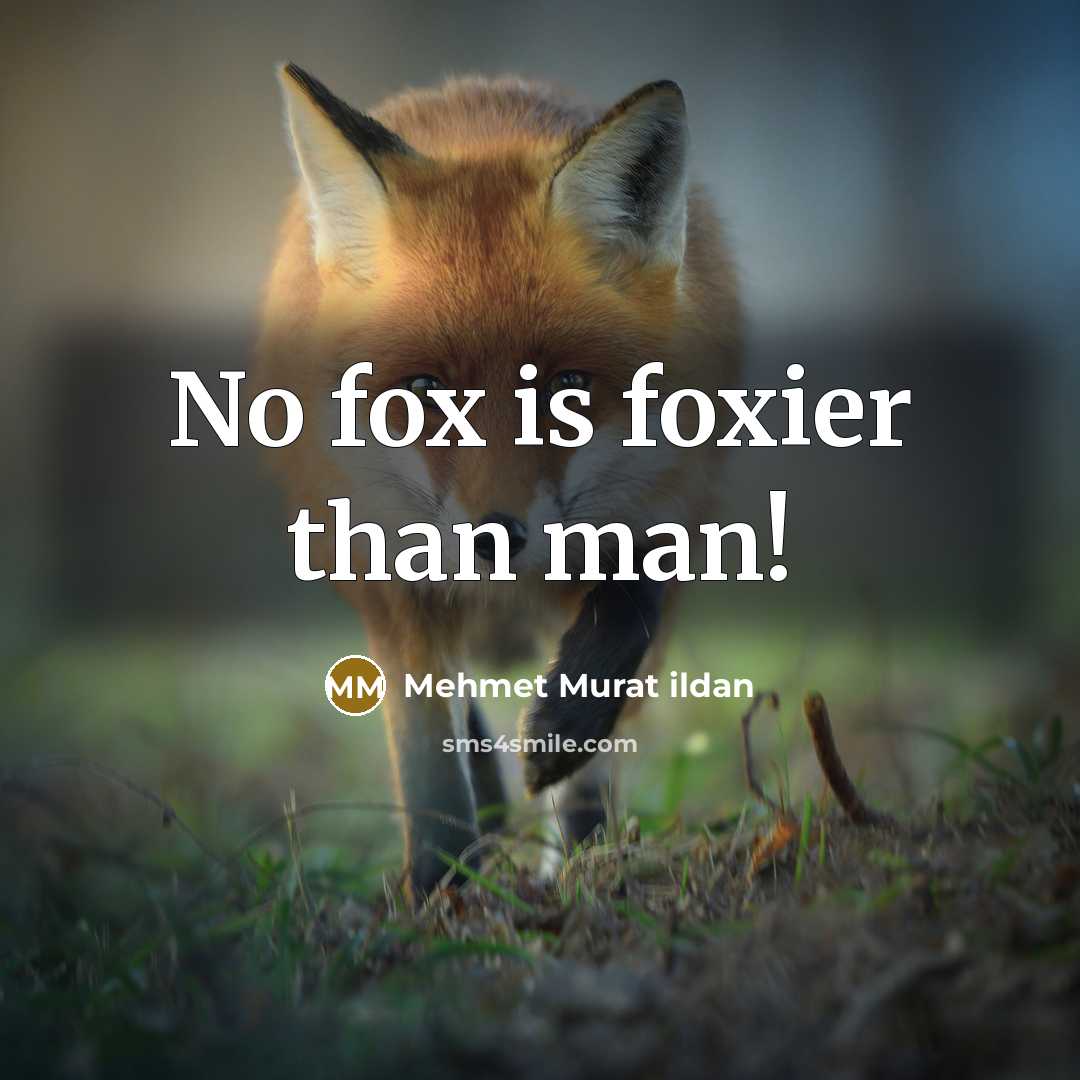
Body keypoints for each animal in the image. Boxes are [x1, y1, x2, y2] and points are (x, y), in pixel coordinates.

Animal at [256, 64, 740, 902]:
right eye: (423, 388)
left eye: (569, 389)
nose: (493, 538)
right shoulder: (387, 576)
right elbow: (427, 761)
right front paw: (439, 890)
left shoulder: (674, 505)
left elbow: (625, 618)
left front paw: (561, 749)